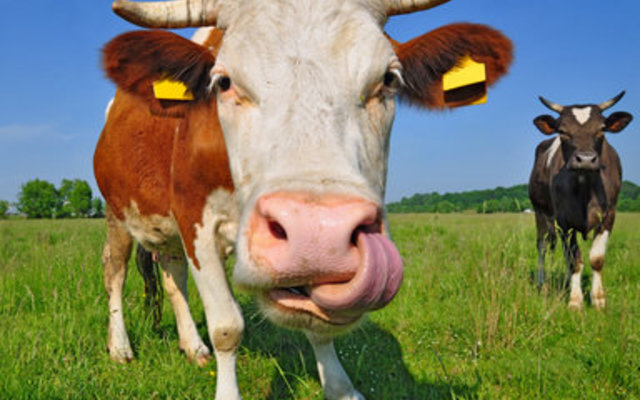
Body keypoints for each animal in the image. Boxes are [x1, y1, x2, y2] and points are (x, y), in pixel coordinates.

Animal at [95, 0, 513, 398]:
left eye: (388, 79)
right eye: (223, 82)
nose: (318, 234)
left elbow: (319, 323)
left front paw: (342, 389)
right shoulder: (194, 218)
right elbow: (227, 327)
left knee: (172, 273)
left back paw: (192, 346)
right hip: (116, 213)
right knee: (115, 271)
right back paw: (120, 347)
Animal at [529, 92, 633, 310]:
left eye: (602, 129)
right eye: (562, 131)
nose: (585, 159)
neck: (585, 189)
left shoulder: (609, 215)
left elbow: (596, 258)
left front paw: (598, 299)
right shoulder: (564, 220)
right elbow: (573, 260)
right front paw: (575, 301)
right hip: (540, 211)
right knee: (542, 245)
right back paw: (543, 282)